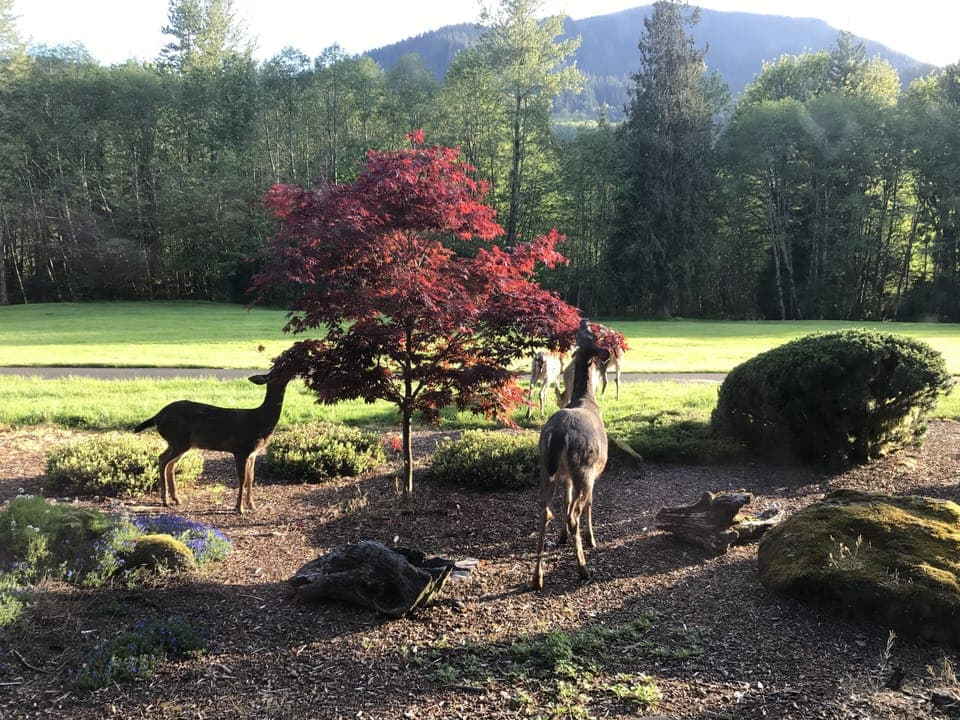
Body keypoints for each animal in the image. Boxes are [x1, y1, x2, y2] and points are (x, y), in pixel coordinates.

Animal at [133, 366, 296, 514]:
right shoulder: (240, 449)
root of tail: (157, 417)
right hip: (178, 439)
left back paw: (176, 499)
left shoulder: (253, 453)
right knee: (162, 460)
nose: (291, 368)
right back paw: (165, 500)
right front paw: (239, 508)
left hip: (182, 443)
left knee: (170, 463)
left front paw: (252, 505)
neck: (260, 420)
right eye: (278, 370)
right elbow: (242, 479)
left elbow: (251, 478)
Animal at [533, 318, 610, 590]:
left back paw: (537, 577)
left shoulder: (565, 476)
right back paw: (583, 568)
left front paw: (562, 537)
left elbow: (566, 501)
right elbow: (590, 504)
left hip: (545, 466)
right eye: (593, 336)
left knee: (545, 512)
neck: (585, 399)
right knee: (575, 514)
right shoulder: (595, 473)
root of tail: (557, 434)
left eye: (581, 333)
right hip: (583, 467)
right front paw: (592, 539)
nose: (585, 320)